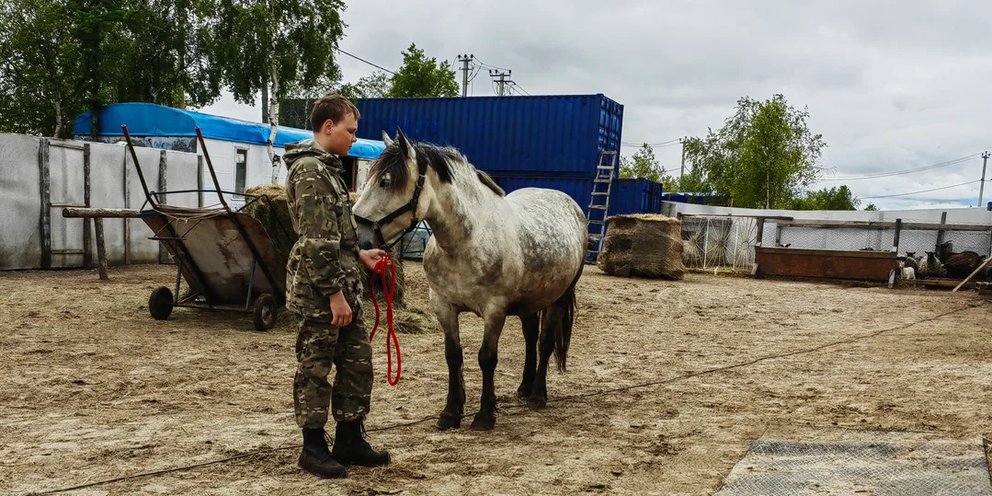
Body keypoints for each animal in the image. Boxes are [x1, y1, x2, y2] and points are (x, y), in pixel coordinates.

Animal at [352, 131, 584, 430]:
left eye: (386, 182)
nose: (359, 238)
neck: (468, 239)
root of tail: (570, 205)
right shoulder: (443, 306)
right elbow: (453, 356)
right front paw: (451, 412)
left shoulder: (494, 311)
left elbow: (487, 358)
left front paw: (485, 415)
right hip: (530, 301)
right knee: (531, 335)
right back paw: (524, 387)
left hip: (559, 297)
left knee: (544, 342)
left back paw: (537, 395)